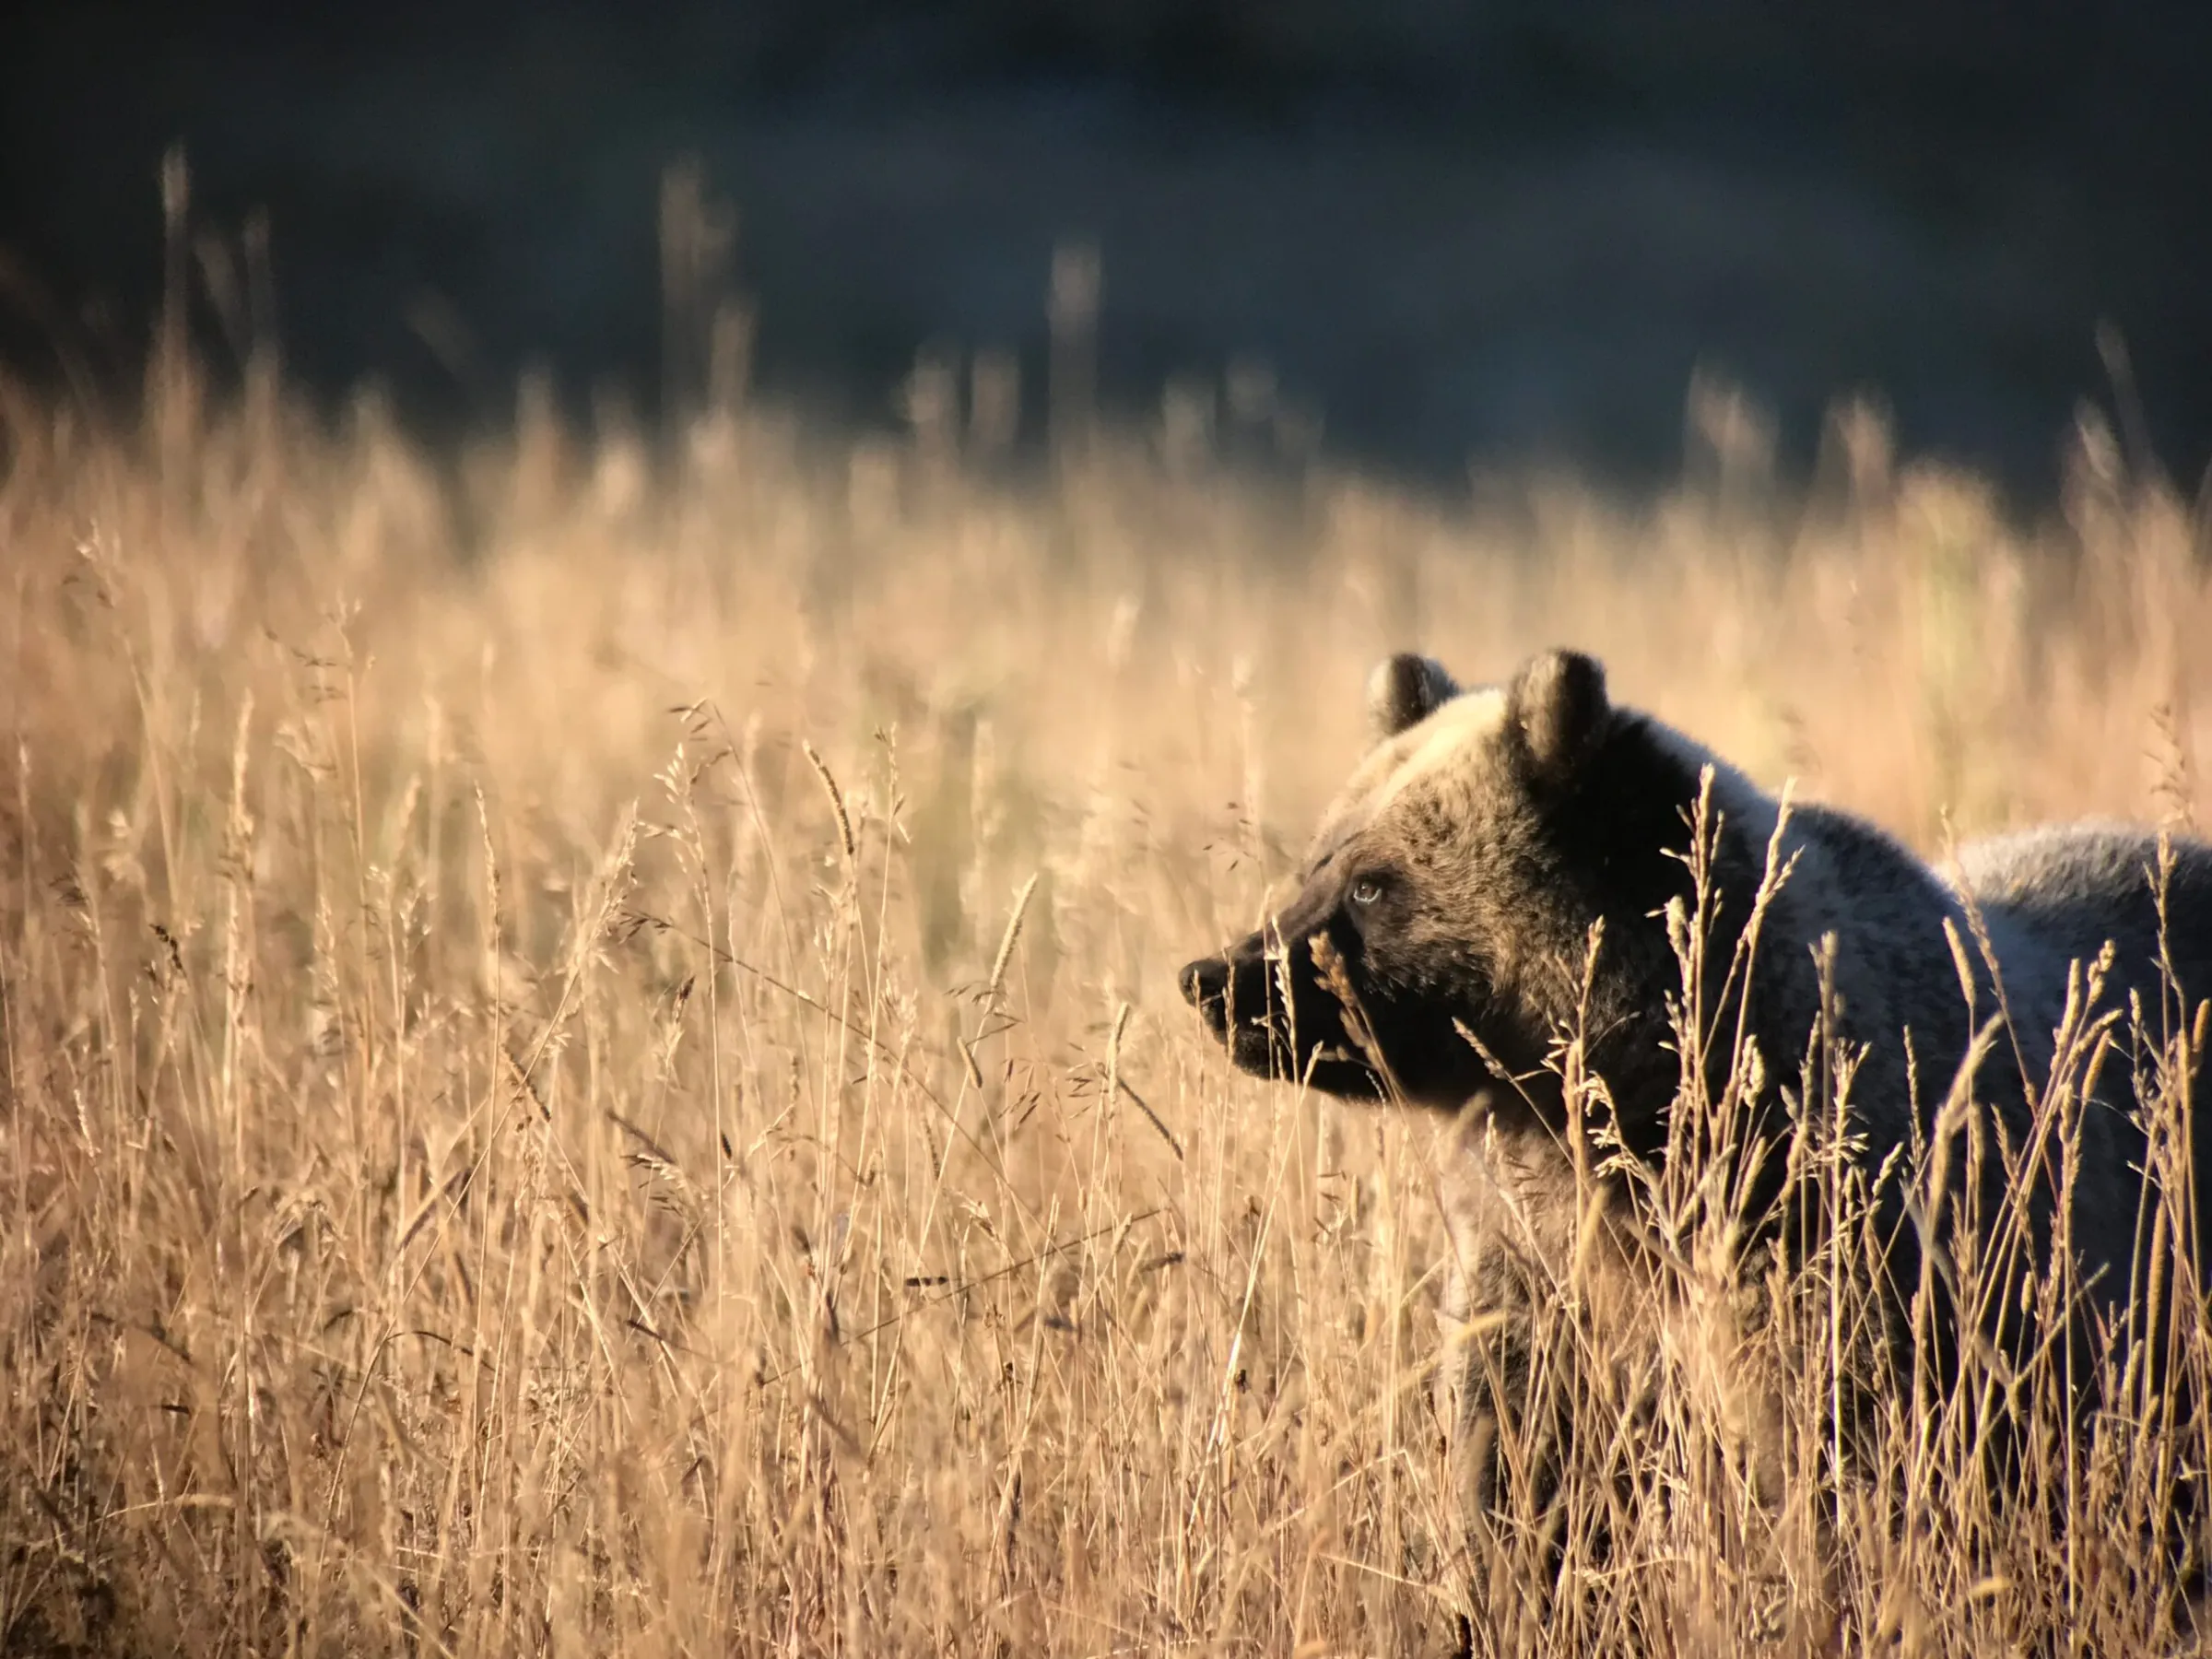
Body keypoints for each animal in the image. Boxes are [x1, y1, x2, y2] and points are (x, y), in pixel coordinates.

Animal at [1178, 647, 2212, 1615]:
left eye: (1372, 885)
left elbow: (1854, 1467)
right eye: (1318, 863)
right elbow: (1523, 1465)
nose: (1218, 979)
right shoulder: (1548, 1269)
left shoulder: (1852, 1250)